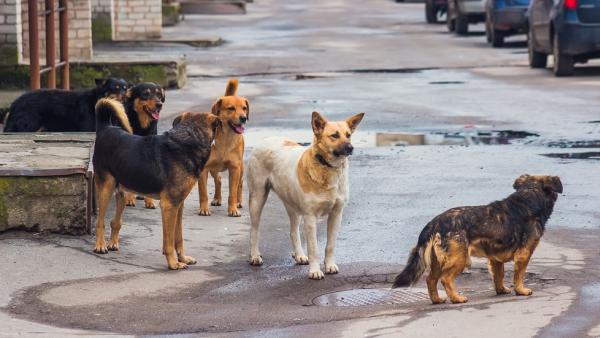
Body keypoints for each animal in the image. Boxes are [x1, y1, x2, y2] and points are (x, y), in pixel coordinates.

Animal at [91, 97, 218, 270]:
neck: (189, 138)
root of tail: (106, 128)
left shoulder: (179, 205)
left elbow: (178, 237)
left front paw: (183, 258)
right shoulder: (169, 206)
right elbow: (169, 241)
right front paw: (173, 263)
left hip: (122, 191)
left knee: (115, 221)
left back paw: (112, 243)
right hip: (106, 187)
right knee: (100, 222)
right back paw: (100, 245)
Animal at [197, 79, 248, 217]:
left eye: (244, 108)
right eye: (231, 108)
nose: (244, 118)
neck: (226, 138)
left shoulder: (235, 168)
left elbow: (232, 193)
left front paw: (233, 209)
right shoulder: (203, 169)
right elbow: (203, 192)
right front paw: (204, 209)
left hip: (241, 168)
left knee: (240, 183)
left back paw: (238, 202)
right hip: (213, 168)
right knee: (218, 180)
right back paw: (217, 198)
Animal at [245, 111, 366, 280]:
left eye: (348, 135)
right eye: (334, 135)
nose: (350, 148)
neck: (327, 167)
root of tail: (266, 139)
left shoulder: (336, 214)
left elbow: (330, 245)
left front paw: (329, 265)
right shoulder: (310, 217)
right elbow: (314, 248)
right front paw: (315, 271)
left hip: (292, 206)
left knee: (293, 231)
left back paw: (299, 255)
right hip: (257, 198)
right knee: (254, 230)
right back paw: (255, 256)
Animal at [394, 174, 564, 304]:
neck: (529, 195)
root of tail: (434, 223)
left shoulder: (495, 257)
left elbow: (499, 275)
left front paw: (501, 290)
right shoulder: (524, 254)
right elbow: (519, 275)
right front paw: (521, 290)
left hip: (437, 261)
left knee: (430, 280)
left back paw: (437, 300)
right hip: (460, 258)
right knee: (445, 279)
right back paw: (457, 298)